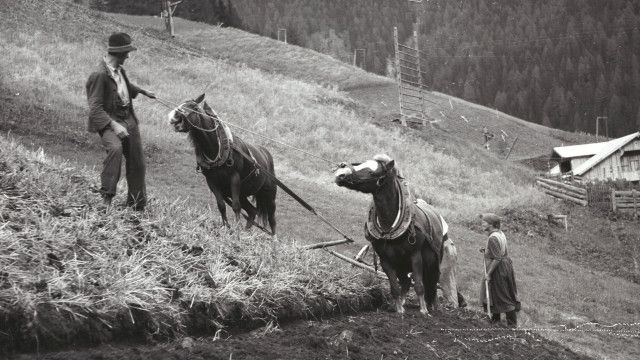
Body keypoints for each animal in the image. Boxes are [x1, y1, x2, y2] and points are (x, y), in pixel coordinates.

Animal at [168, 93, 278, 235]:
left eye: (194, 107)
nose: (174, 116)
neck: (216, 147)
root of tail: (267, 155)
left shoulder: (234, 178)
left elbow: (236, 206)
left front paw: (236, 227)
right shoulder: (212, 182)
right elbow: (221, 206)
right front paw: (226, 227)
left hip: (269, 195)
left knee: (271, 218)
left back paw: (273, 238)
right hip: (240, 194)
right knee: (252, 211)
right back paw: (246, 232)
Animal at [336, 155, 444, 316]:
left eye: (373, 172)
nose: (341, 174)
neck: (390, 224)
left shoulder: (415, 255)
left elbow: (419, 285)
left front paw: (423, 311)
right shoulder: (386, 259)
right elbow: (394, 287)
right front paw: (399, 310)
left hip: (432, 263)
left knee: (432, 283)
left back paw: (433, 306)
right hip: (401, 264)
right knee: (405, 282)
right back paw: (404, 303)